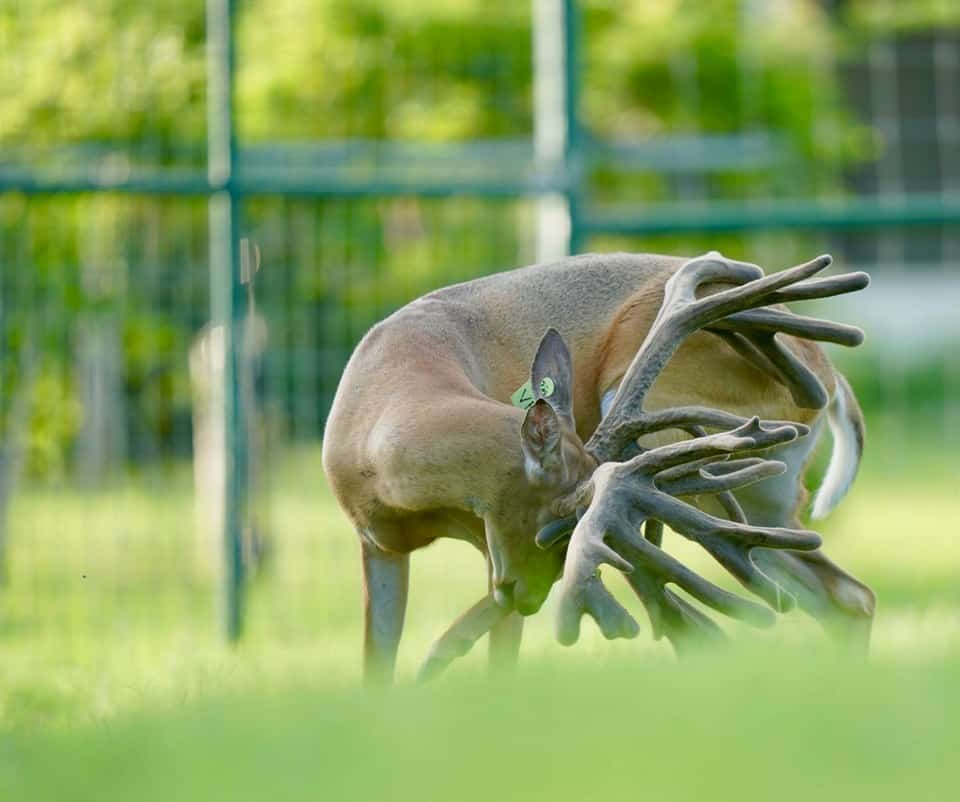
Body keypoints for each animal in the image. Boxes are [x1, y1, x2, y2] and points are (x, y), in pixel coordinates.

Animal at [321, 251, 875, 684]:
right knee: (847, 595)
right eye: (548, 529)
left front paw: (442, 664)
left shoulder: (489, 544)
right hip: (761, 496)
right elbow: (376, 665)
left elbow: (501, 660)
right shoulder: (376, 545)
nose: (531, 599)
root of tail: (829, 373)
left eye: (564, 539)